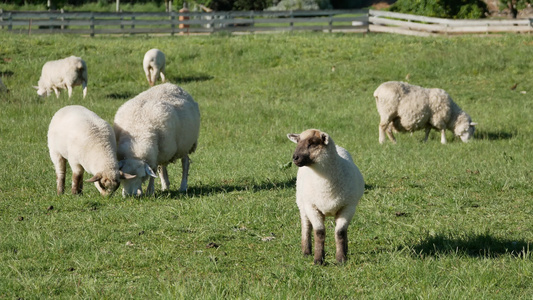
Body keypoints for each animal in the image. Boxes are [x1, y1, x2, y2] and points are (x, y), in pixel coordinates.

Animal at [286, 129, 366, 264]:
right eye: (298, 141)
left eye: (312, 143)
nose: (295, 157)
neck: (326, 186)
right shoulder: (312, 207)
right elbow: (319, 232)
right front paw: (318, 260)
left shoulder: (347, 207)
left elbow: (340, 232)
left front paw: (341, 259)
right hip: (302, 204)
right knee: (306, 226)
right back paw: (306, 252)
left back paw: (345, 250)